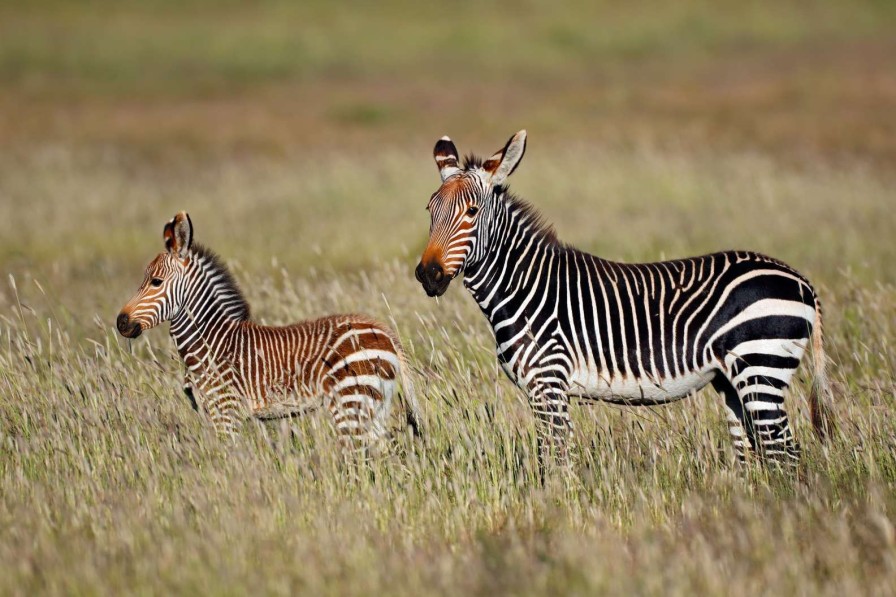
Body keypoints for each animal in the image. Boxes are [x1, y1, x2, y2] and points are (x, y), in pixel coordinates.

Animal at [118, 212, 420, 444]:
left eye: (156, 282)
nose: (121, 322)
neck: (211, 340)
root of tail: (384, 331)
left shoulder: (225, 410)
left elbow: (228, 461)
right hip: (374, 403)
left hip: (351, 402)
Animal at [416, 130, 836, 470]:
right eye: (430, 210)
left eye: (472, 212)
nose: (428, 275)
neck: (525, 287)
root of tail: (801, 281)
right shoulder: (543, 391)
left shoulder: (549, 384)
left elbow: (555, 462)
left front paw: (557, 509)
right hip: (735, 382)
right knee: (757, 454)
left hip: (761, 367)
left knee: (784, 453)